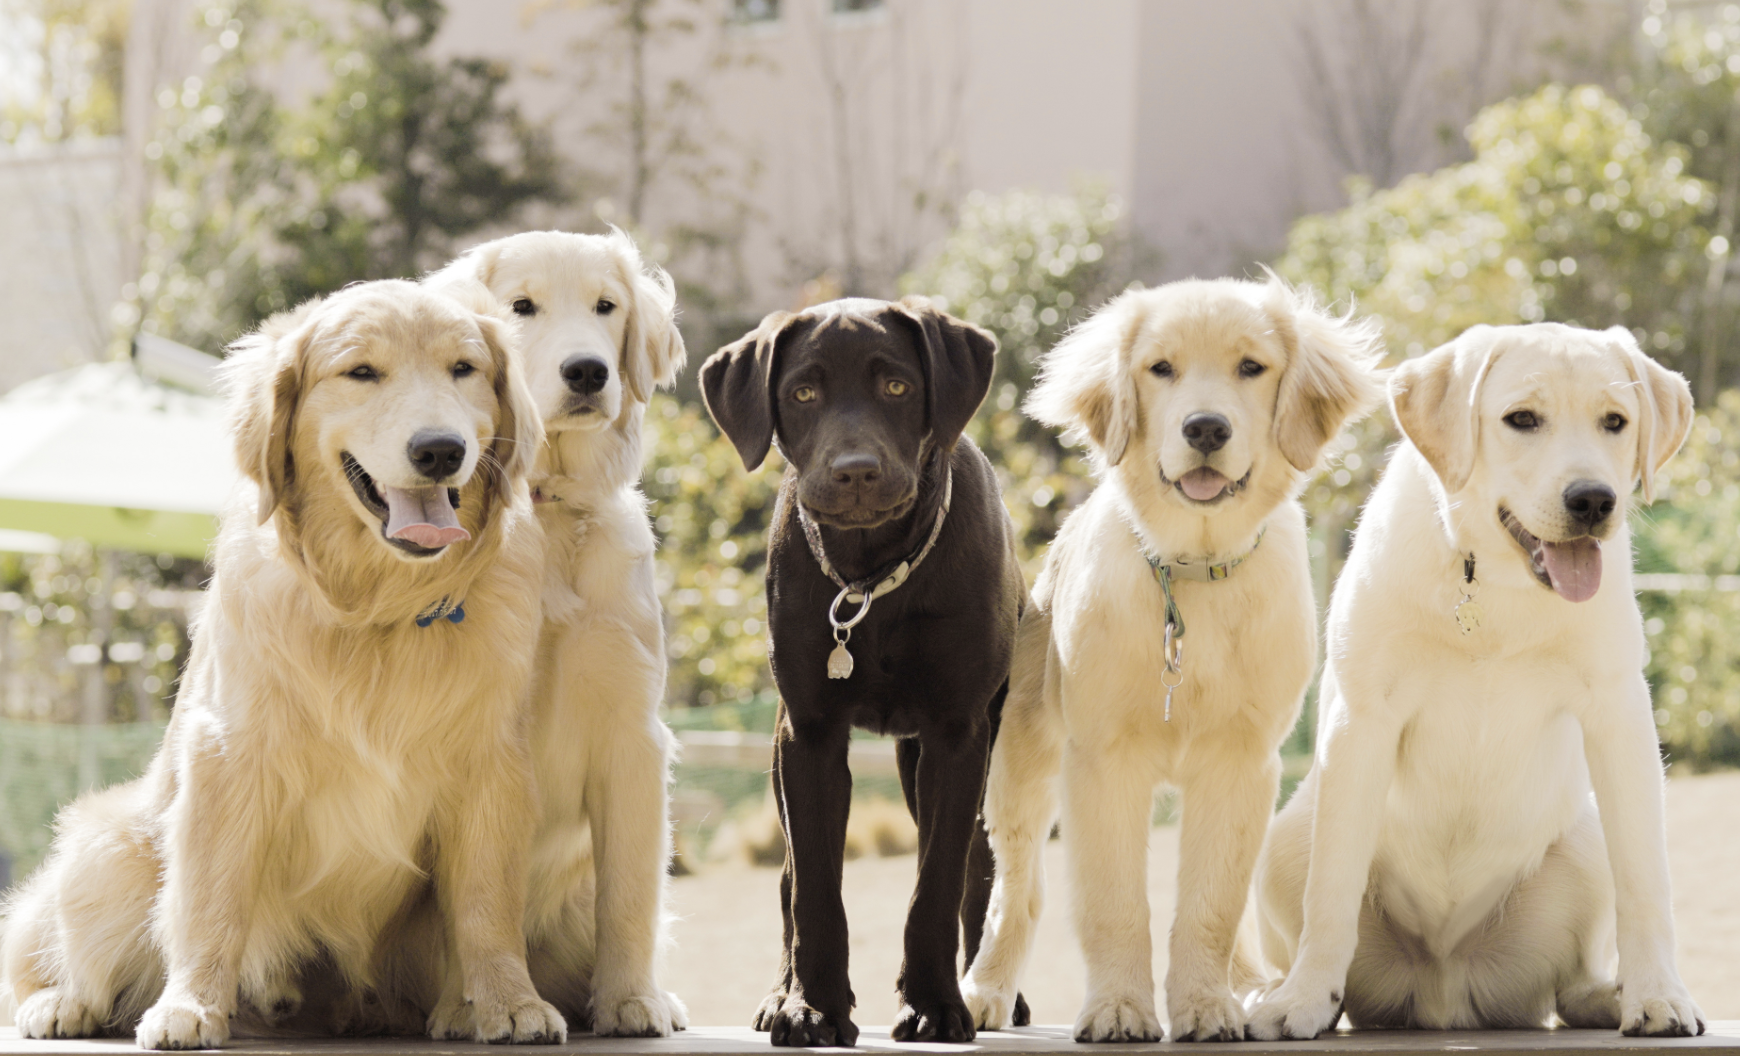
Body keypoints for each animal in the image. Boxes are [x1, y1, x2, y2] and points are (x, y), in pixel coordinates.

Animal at [0, 278, 556, 1050]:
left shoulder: (492, 763)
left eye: (463, 370)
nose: (441, 450)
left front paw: (509, 999)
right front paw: (190, 1005)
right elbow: (212, 898)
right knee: (61, 946)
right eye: (361, 372)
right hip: (108, 847)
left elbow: (486, 902)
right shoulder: (231, 754)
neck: (379, 612)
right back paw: (62, 1003)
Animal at [422, 229, 685, 1029]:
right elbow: (482, 889)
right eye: (522, 307)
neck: (551, 509)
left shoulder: (632, 729)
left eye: (606, 306)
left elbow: (629, 892)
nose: (588, 371)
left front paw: (632, 998)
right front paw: (481, 1005)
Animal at [960, 276, 1378, 1043]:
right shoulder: (1102, 760)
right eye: (1160, 369)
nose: (1205, 429)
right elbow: (1115, 902)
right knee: (1019, 885)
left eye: (1251, 367)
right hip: (1021, 763)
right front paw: (1120, 1009)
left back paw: (1246, 985)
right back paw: (983, 989)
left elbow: (1213, 903)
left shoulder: (1242, 761)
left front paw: (1208, 1005)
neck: (1192, 571)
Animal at [1245, 323, 1705, 1043]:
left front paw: (1658, 994)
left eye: (1615, 421)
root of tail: (1442, 988)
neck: (1491, 580)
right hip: (1284, 837)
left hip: (1584, 845)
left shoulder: (1620, 715)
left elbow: (1647, 883)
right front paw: (1305, 999)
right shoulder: (1362, 720)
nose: (1593, 499)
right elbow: (1332, 888)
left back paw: (1609, 994)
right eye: (1522, 419)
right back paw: (1278, 992)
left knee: (1568, 987)